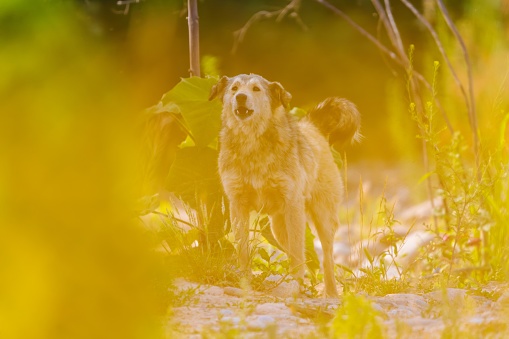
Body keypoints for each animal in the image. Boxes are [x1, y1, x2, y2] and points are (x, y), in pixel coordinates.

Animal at [208, 74, 360, 298]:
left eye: (256, 89)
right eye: (234, 88)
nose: (240, 97)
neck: (252, 145)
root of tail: (311, 126)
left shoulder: (293, 204)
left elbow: (298, 254)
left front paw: (296, 285)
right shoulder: (237, 206)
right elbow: (243, 250)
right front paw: (245, 282)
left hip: (321, 217)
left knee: (326, 258)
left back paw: (330, 293)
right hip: (278, 228)